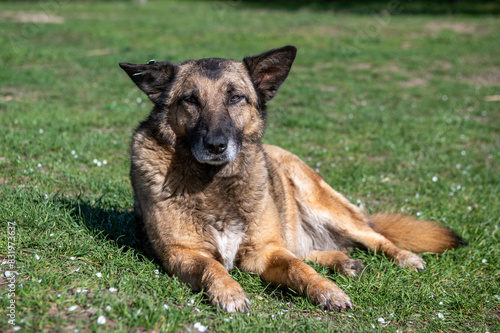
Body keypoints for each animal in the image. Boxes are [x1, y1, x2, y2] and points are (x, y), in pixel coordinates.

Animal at [119, 45, 462, 312]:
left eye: (235, 98)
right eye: (190, 100)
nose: (215, 145)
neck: (216, 181)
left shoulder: (265, 252)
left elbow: (299, 268)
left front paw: (328, 290)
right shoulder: (182, 254)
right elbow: (212, 266)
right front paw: (230, 292)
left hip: (324, 206)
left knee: (374, 237)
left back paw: (404, 258)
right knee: (312, 250)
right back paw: (345, 262)